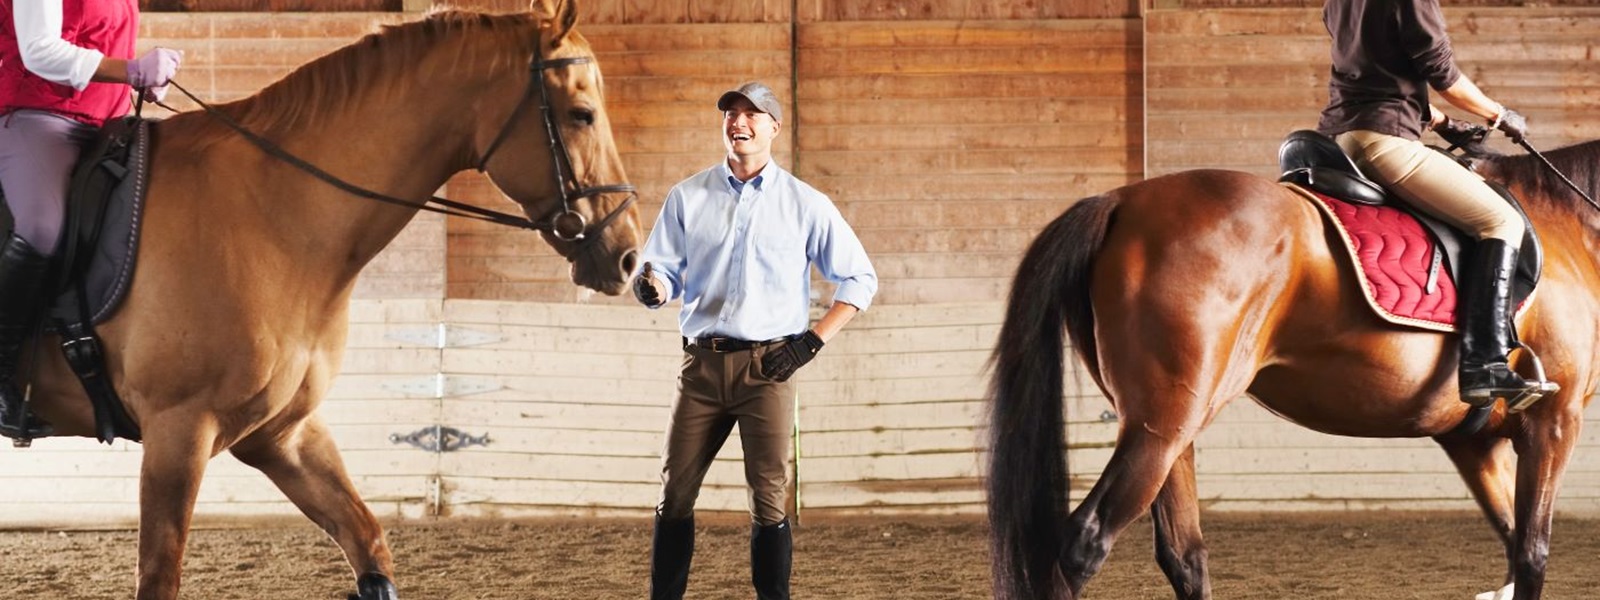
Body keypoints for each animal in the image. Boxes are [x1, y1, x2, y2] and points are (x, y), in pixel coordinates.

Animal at [12, 2, 640, 598]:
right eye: (582, 114)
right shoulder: (178, 431)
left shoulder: (283, 433)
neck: (273, 216)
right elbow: (159, 578)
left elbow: (368, 542)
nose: (629, 256)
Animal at [985, 142, 1600, 600]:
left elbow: (1513, 542)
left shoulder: (1473, 441)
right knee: (1083, 543)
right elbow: (1533, 552)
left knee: (1184, 556)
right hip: (1160, 429)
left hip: (1167, 426)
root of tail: (1119, 200)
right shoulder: (1553, 423)